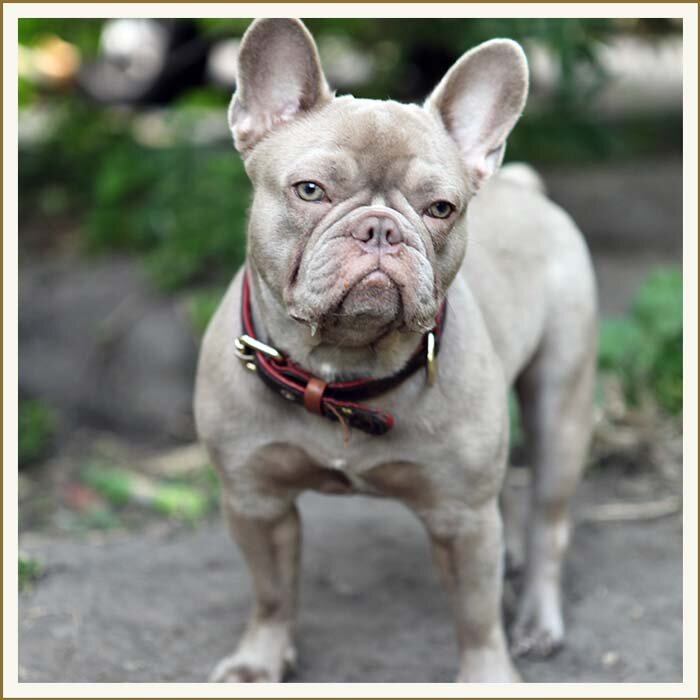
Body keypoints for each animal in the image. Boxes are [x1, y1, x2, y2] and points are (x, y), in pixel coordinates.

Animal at [194, 18, 597, 683]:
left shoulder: (462, 518)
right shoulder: (256, 501)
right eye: (310, 190)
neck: (342, 370)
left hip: (561, 399)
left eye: (441, 208)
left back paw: (538, 615)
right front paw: (259, 661)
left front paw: (489, 677)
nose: (381, 228)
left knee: (550, 517)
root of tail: (524, 186)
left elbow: (476, 615)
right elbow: (272, 590)